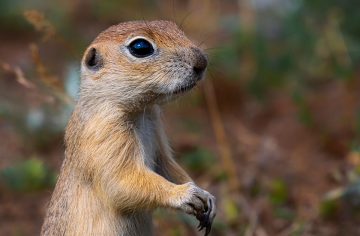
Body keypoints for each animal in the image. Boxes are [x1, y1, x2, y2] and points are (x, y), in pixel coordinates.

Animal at [42, 20, 217, 236]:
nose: (202, 61)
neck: (140, 112)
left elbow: (168, 166)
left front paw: (207, 197)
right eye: (140, 47)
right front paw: (185, 193)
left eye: (176, 27)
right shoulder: (105, 135)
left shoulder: (156, 132)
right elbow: (122, 182)